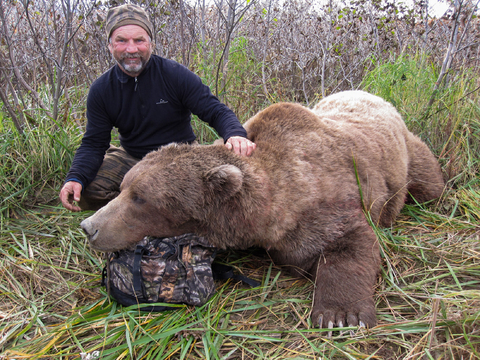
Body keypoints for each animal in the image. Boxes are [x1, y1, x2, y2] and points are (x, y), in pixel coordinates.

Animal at [80, 90, 444, 330]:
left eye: (141, 198)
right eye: (124, 187)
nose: (90, 227)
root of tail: (374, 95)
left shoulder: (322, 202)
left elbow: (351, 240)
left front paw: (339, 315)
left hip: (409, 152)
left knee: (430, 183)